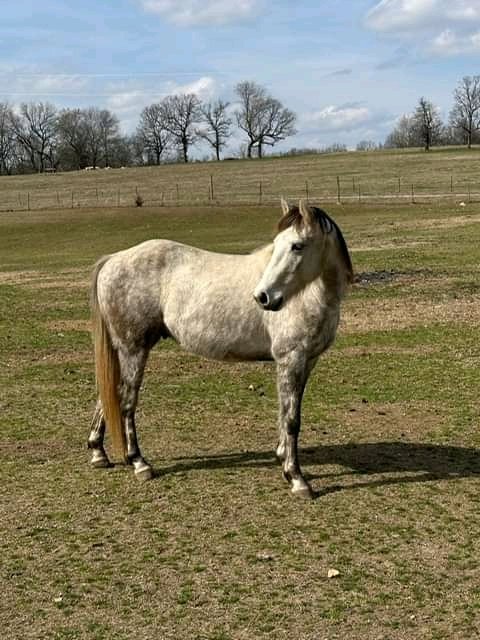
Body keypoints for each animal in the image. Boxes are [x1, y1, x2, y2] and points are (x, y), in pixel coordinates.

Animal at [87, 199, 353, 498]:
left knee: (109, 394)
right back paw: (139, 462)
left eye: (297, 245)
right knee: (126, 400)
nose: (263, 297)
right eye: (278, 244)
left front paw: (282, 456)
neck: (309, 295)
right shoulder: (291, 359)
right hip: (134, 349)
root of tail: (113, 259)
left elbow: (286, 411)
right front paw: (296, 478)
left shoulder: (307, 361)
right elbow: (291, 419)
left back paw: (98, 452)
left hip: (123, 350)